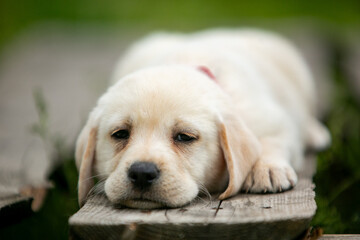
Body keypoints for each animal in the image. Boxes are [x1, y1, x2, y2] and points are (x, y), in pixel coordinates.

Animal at [75, 28, 330, 209]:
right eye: (120, 134)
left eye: (185, 137)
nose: (141, 173)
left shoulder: (272, 119)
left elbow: (272, 139)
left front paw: (266, 169)